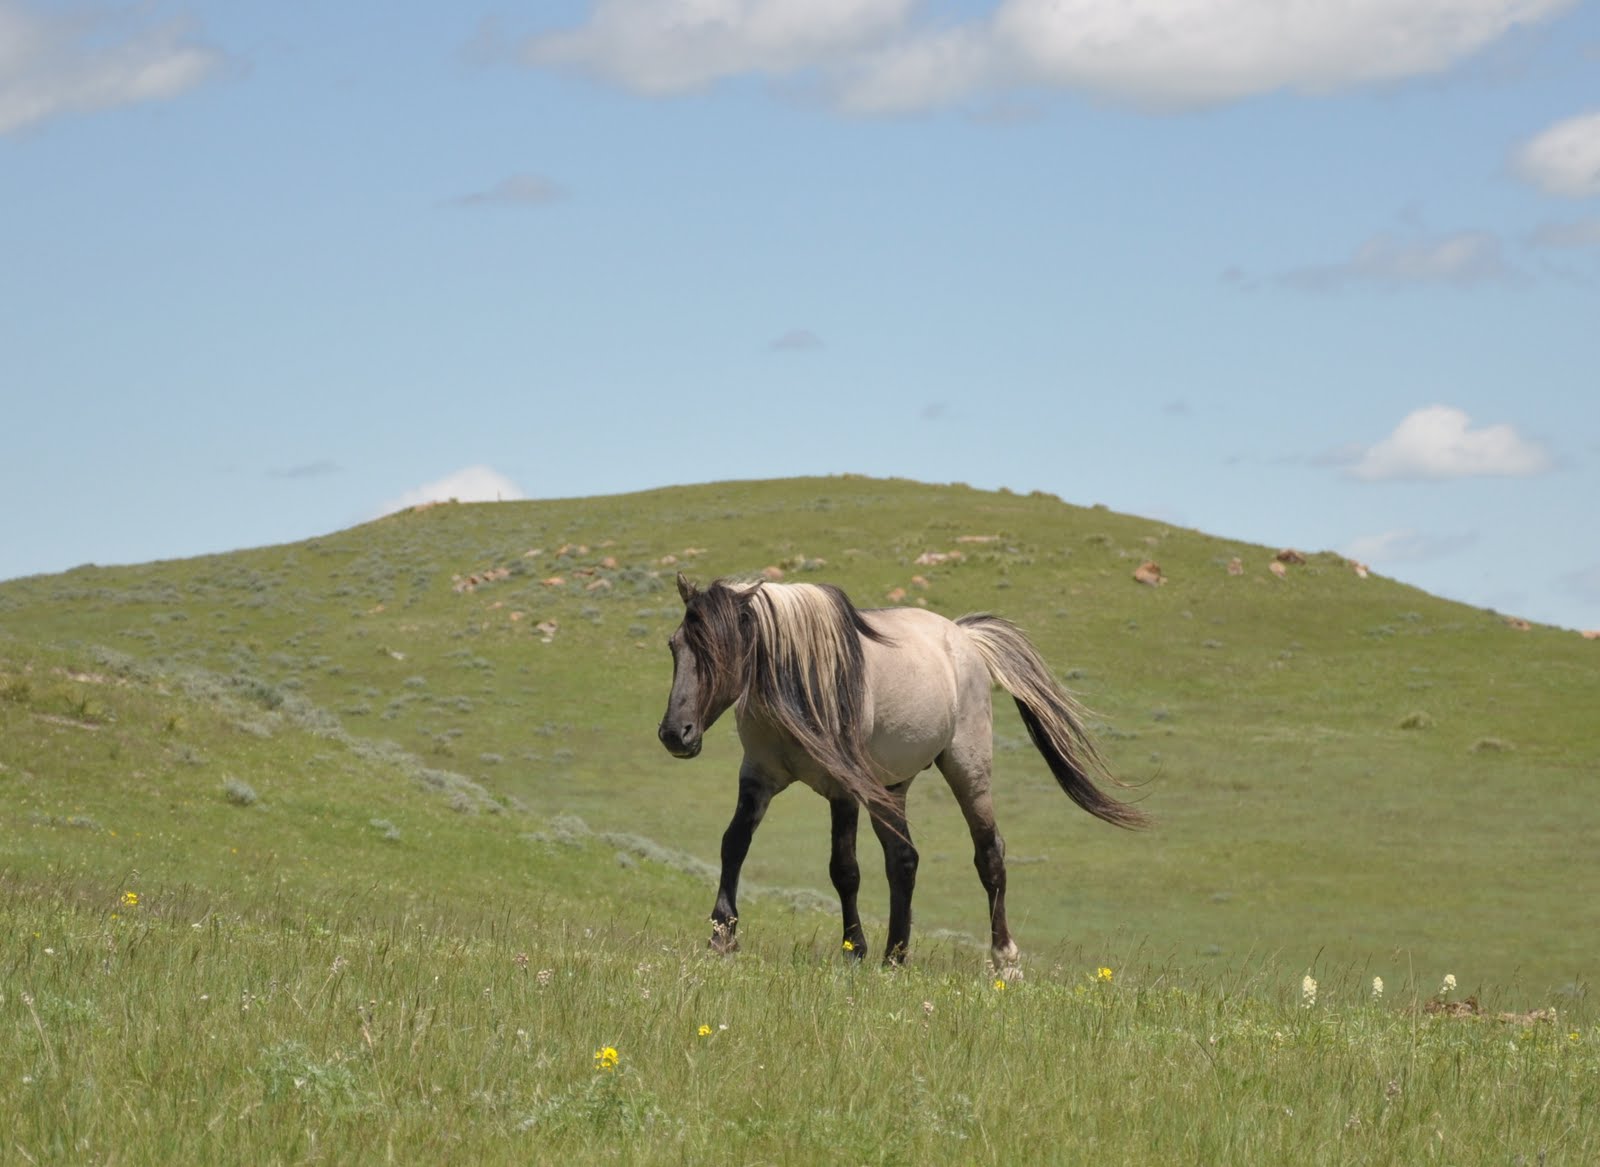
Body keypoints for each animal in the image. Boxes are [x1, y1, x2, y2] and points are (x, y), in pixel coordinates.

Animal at [656, 573, 1145, 973]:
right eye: (675, 645)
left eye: (719, 650)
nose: (675, 734)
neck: (799, 685)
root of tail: (964, 637)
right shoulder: (757, 778)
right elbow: (733, 845)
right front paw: (722, 937)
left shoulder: (842, 789)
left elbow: (844, 869)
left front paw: (854, 949)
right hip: (890, 786)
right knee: (904, 860)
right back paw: (896, 956)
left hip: (967, 771)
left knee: (989, 855)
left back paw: (1004, 961)